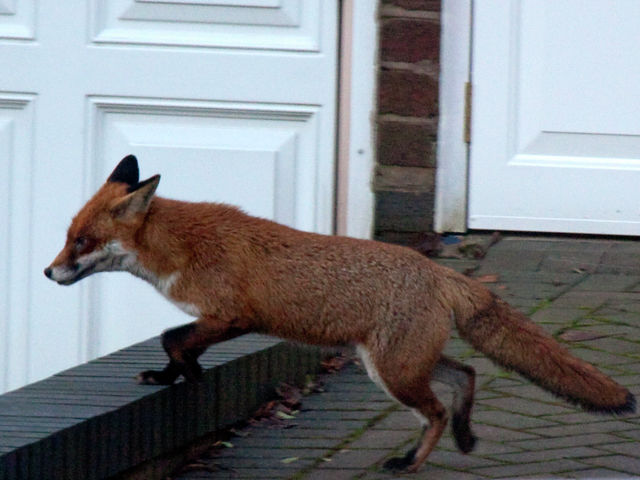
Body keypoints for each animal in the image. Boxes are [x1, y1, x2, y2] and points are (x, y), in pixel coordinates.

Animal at [45, 155, 635, 473]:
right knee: (466, 375)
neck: (181, 248)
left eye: (82, 242)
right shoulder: (220, 321)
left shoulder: (233, 317)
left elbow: (174, 337)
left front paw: (185, 374)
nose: (49, 273)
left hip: (392, 372)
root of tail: (440, 271)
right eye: (68, 237)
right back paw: (466, 437)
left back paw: (410, 463)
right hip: (399, 363)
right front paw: (169, 377)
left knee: (437, 410)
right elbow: (172, 342)